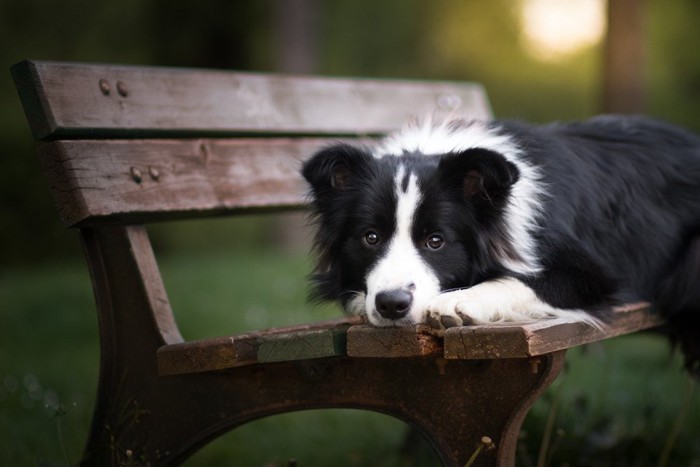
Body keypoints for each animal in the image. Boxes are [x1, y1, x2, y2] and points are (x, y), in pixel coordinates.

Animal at [302, 115, 700, 374]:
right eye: (370, 237)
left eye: (435, 241)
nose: (391, 305)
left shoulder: (590, 272)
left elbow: (525, 279)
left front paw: (456, 303)